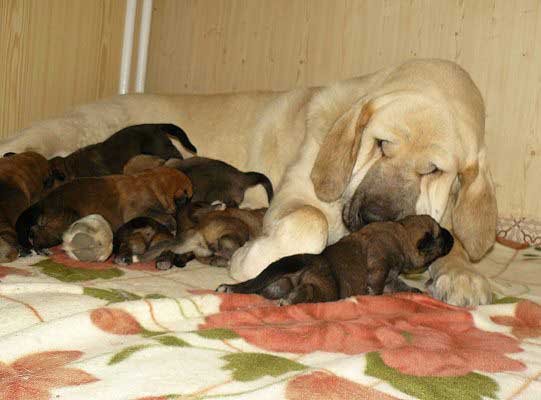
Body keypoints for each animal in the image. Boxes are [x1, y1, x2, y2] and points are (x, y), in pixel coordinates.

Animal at [16, 167, 192, 255]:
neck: (154, 182)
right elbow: (167, 217)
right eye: (188, 199)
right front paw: (173, 225)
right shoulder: (140, 210)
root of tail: (43, 202)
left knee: (35, 229)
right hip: (66, 220)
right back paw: (41, 249)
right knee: (39, 233)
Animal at [217, 216, 454, 304]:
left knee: (253, 287)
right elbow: (378, 281)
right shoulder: (380, 260)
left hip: (273, 282)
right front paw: (372, 294)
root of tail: (306, 259)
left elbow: (398, 285)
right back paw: (293, 299)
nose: (452, 236)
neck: (402, 232)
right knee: (310, 290)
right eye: (441, 236)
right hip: (327, 288)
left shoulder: (392, 278)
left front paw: (414, 291)